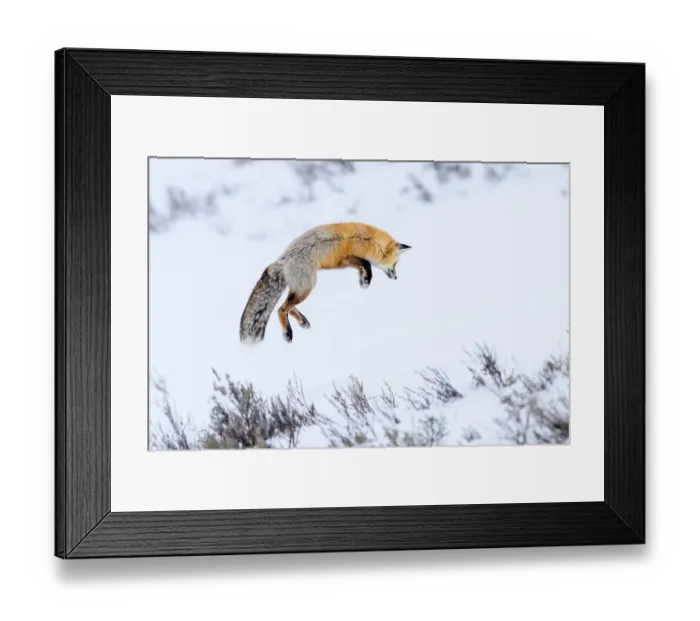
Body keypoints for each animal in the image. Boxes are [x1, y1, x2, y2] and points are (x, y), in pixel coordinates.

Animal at [239, 222, 411, 344]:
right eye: (395, 264)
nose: (396, 278)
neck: (365, 240)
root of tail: (283, 259)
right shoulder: (345, 258)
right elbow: (367, 264)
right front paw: (366, 281)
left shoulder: (345, 261)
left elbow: (363, 266)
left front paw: (363, 280)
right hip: (308, 286)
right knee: (282, 309)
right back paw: (287, 333)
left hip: (302, 287)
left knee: (288, 306)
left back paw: (302, 321)